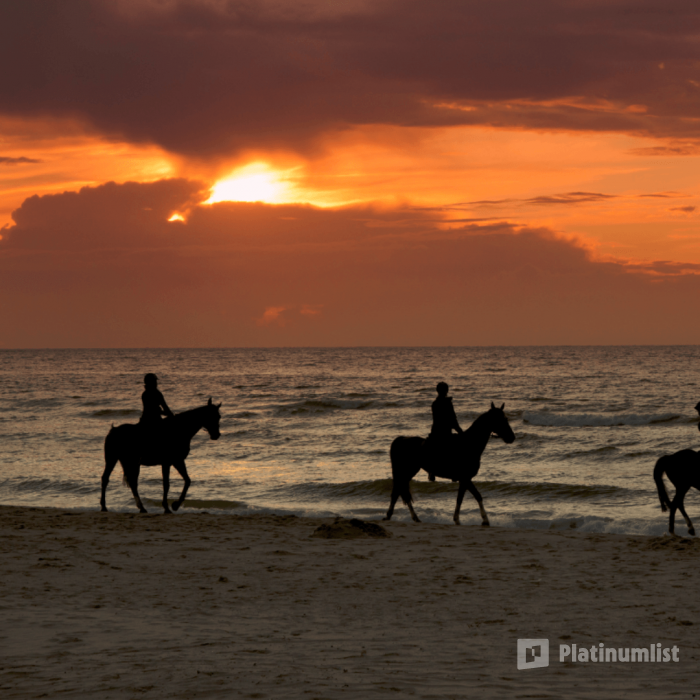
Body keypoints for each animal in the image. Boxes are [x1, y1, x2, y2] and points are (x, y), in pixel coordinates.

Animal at [384, 402, 515, 526]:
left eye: (506, 418)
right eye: (500, 420)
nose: (512, 437)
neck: (469, 445)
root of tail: (401, 439)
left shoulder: (464, 480)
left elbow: (461, 498)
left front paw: (458, 519)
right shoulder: (465, 478)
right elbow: (476, 496)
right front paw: (484, 520)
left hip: (408, 472)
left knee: (399, 491)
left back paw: (411, 517)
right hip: (406, 471)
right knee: (397, 492)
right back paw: (393, 516)